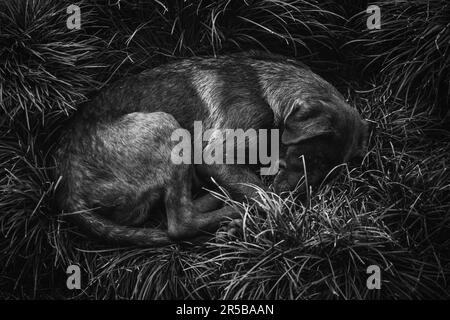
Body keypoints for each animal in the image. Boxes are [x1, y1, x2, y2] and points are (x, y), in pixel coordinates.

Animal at [53, 51, 370, 246]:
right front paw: (272, 205)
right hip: (165, 125)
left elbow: (259, 189)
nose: (297, 198)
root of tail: (69, 192)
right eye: (310, 159)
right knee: (180, 222)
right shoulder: (213, 156)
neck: (269, 98)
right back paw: (233, 211)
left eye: (325, 175)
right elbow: (264, 195)